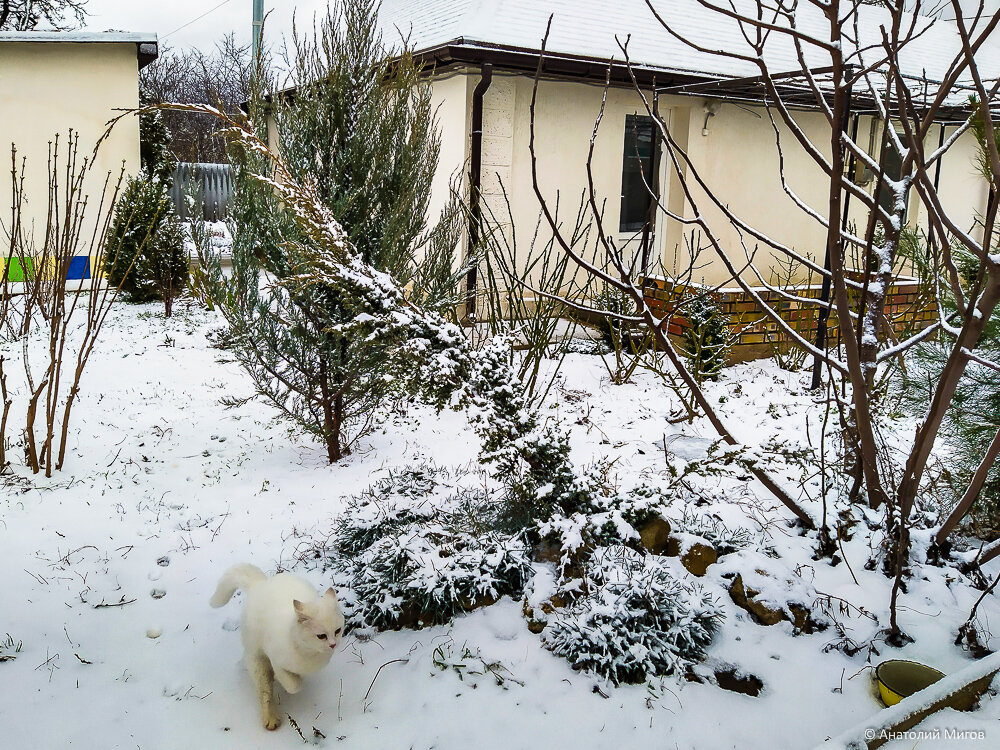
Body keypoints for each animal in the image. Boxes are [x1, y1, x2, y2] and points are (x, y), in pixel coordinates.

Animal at [210, 568, 344, 732]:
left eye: (337, 631)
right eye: (321, 636)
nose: (333, 644)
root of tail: (260, 584)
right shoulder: (275, 660)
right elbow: (294, 685)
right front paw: (286, 680)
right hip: (257, 660)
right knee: (265, 692)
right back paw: (270, 718)